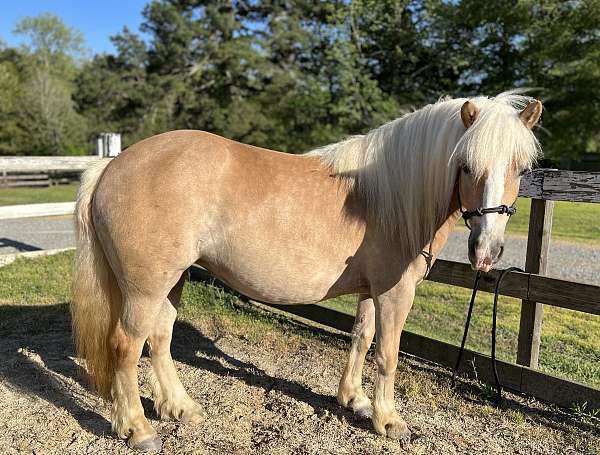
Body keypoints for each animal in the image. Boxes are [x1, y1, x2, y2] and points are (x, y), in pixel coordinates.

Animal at [71, 94, 544, 450]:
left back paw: (180, 408)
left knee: (161, 339)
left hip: (173, 281)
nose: (487, 251)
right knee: (125, 346)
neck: (386, 197)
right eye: (465, 165)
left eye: (521, 168)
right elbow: (388, 354)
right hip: (146, 288)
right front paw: (388, 421)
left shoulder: (370, 289)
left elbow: (362, 339)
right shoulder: (395, 292)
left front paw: (354, 401)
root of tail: (112, 165)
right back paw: (138, 429)